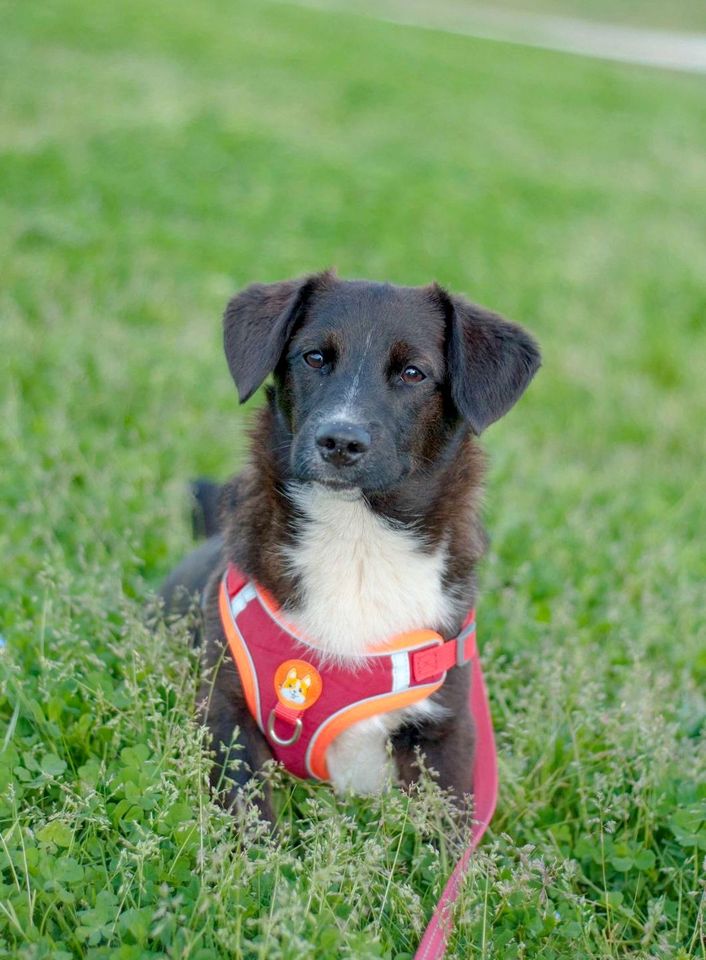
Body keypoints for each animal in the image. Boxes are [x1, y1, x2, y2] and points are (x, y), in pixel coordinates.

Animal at [161, 268, 540, 816]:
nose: (340, 441)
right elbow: (249, 807)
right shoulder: (224, 706)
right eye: (314, 357)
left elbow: (444, 826)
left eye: (413, 373)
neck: (357, 540)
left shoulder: (448, 729)